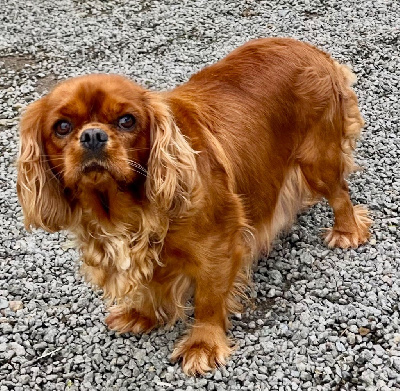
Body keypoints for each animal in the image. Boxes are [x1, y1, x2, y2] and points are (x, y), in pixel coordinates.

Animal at [16, 37, 372, 376]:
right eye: (62, 127)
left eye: (127, 121)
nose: (92, 136)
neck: (127, 208)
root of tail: (313, 50)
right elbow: (148, 285)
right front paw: (141, 314)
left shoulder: (218, 244)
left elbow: (209, 299)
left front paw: (203, 345)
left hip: (318, 158)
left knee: (340, 193)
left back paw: (346, 231)